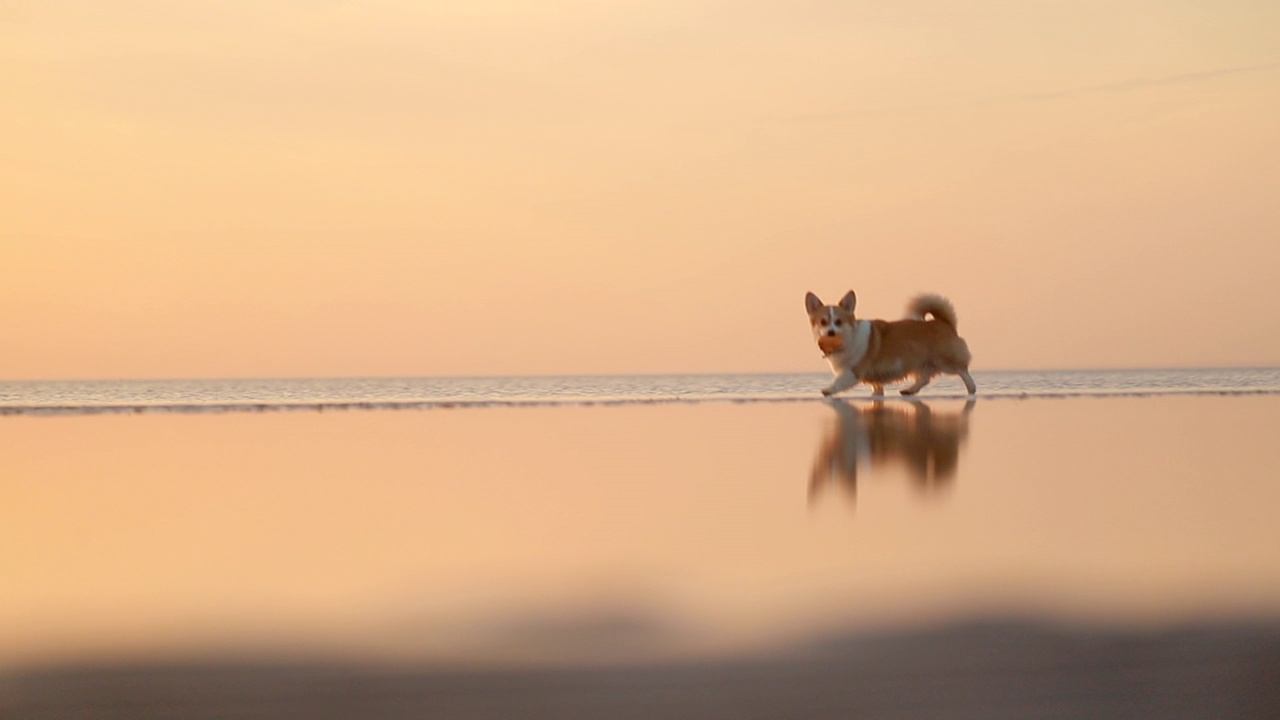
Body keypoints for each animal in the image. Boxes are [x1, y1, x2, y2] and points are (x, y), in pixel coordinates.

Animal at [803, 288, 972, 394]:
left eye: (838, 322)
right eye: (823, 322)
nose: (831, 332)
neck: (848, 339)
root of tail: (944, 322)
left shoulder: (853, 371)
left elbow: (839, 381)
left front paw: (829, 389)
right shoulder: (873, 379)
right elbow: (877, 390)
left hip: (945, 361)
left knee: (962, 371)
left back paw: (972, 389)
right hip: (922, 363)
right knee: (924, 379)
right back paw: (909, 390)